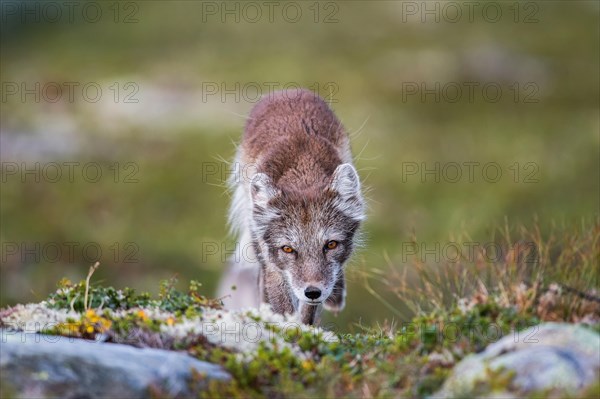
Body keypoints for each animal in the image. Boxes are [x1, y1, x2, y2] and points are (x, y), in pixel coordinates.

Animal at [217, 89, 364, 326]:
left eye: (331, 244)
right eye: (287, 249)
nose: (312, 291)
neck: (303, 170)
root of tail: (288, 90)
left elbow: (309, 310)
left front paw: (304, 327)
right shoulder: (273, 263)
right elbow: (280, 301)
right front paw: (284, 327)